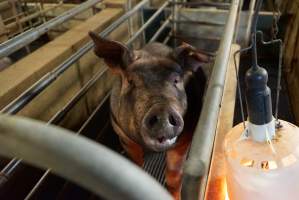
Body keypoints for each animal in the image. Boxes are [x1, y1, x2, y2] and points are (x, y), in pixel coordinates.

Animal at [90, 32, 210, 199]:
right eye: (130, 81)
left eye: (176, 80)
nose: (161, 111)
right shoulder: (124, 137)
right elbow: (137, 166)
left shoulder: (185, 139)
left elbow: (174, 175)